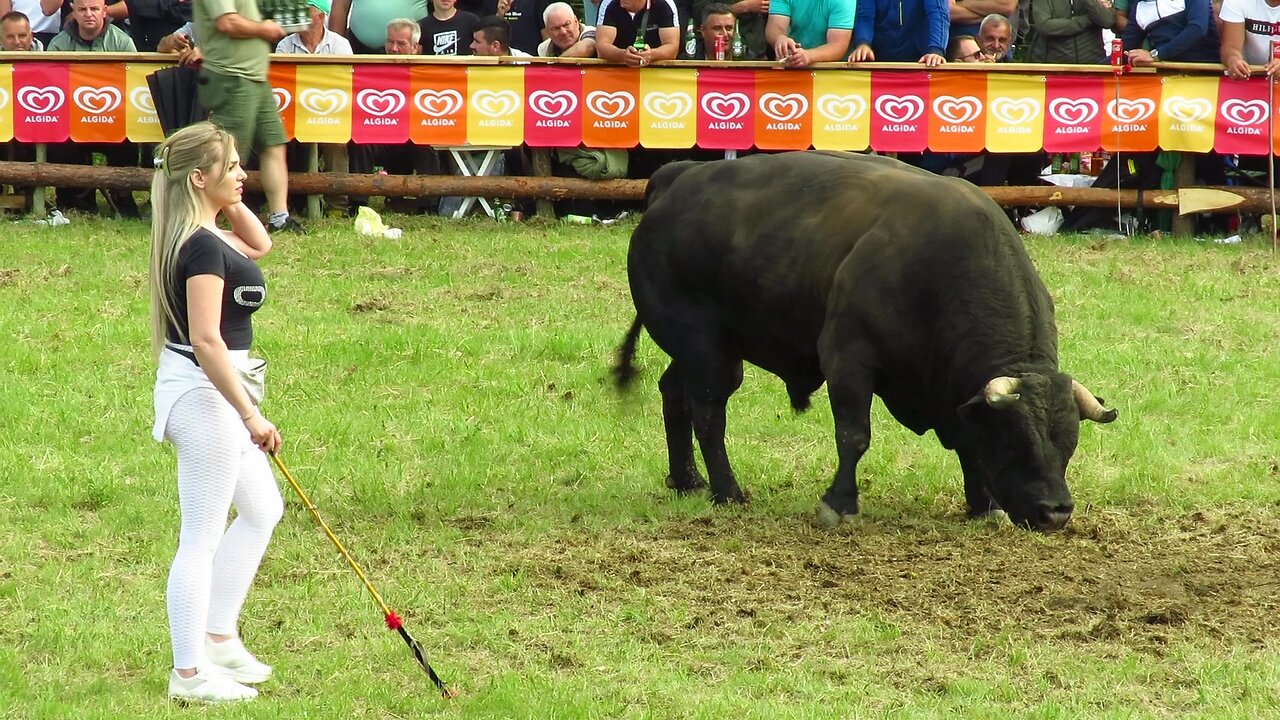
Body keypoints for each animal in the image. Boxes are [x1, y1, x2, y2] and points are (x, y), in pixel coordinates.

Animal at [614, 151, 1116, 530]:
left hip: (700, 349)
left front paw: (982, 504)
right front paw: (839, 503)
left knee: (673, 394)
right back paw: (727, 490)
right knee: (707, 412)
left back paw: (686, 479)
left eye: (1068, 444)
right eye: (1018, 440)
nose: (1056, 512)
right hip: (707, 349)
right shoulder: (848, 362)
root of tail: (678, 177)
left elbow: (968, 442)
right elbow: (853, 436)